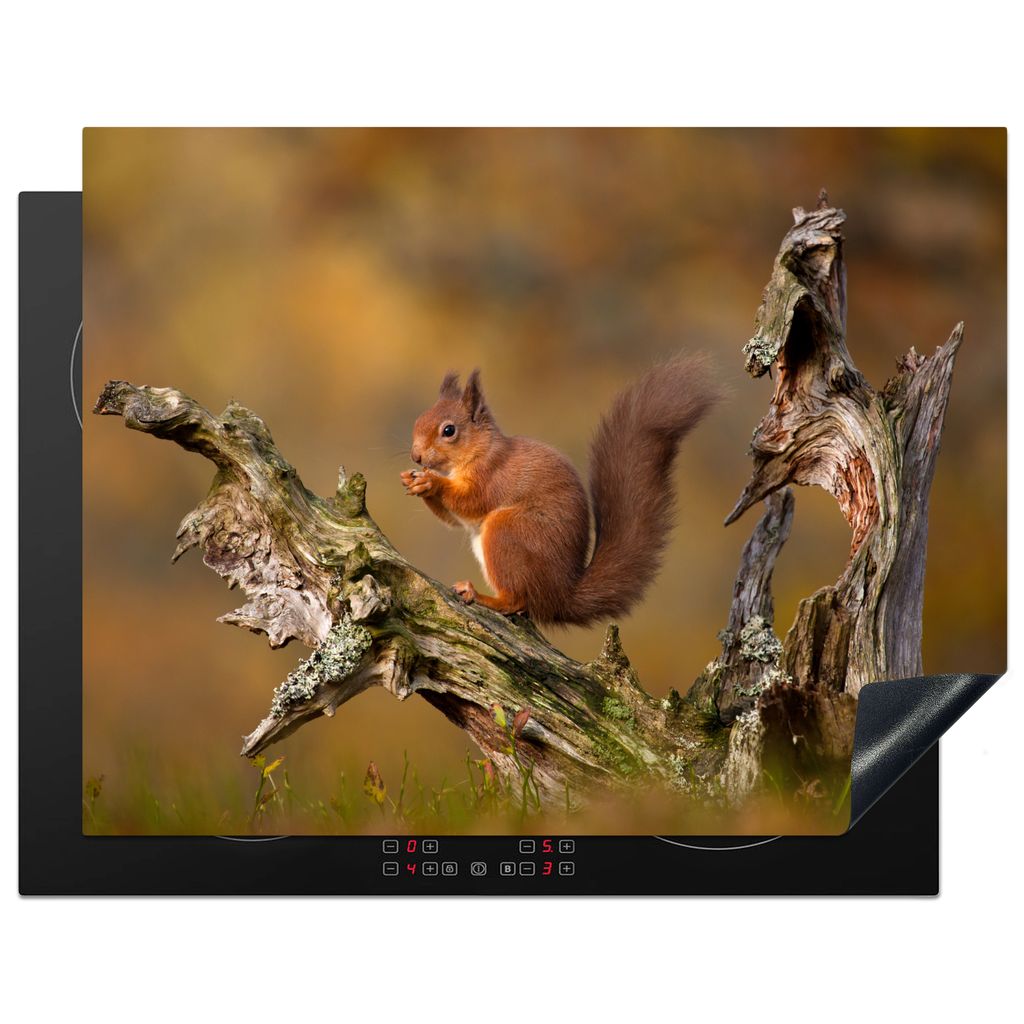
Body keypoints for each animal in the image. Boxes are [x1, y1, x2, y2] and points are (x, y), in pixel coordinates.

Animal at [400, 353, 720, 626]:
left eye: (449, 431)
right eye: (417, 421)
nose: (416, 456)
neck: (480, 451)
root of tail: (559, 597)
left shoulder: (492, 476)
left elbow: (471, 502)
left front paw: (431, 481)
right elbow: (454, 520)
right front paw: (413, 480)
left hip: (508, 531)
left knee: (517, 600)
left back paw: (481, 596)